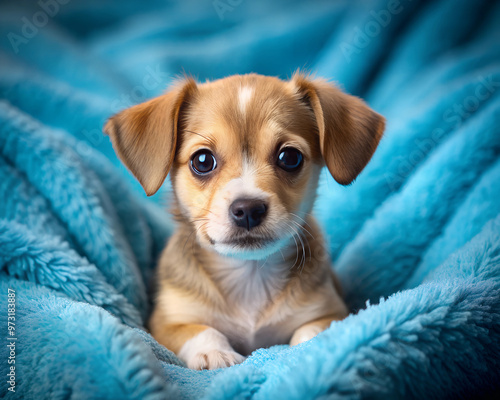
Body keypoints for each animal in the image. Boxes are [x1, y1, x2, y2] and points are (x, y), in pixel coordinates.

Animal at [103, 72, 384, 368]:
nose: (248, 209)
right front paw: (214, 353)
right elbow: (201, 330)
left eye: (290, 157)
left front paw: (312, 347)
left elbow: (311, 330)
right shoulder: (166, 321)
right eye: (202, 161)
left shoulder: (330, 312)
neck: (249, 275)